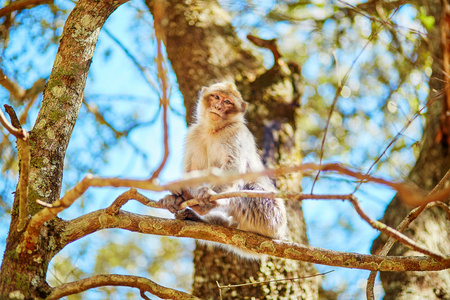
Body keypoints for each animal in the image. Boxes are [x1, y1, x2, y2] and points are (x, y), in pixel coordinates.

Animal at [160, 82, 286, 258]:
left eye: (227, 102)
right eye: (216, 97)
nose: (218, 106)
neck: (214, 130)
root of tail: (280, 234)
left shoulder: (236, 132)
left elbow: (233, 167)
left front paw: (206, 195)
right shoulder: (194, 134)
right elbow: (192, 171)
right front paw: (175, 195)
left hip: (271, 217)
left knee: (246, 189)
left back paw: (204, 204)